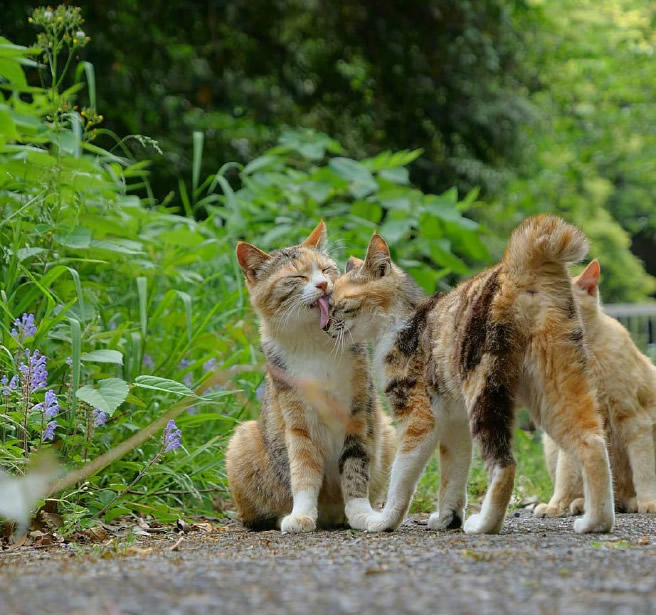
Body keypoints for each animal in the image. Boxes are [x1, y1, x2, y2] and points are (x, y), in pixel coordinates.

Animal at [226, 223, 394, 536]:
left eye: (327, 270)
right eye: (297, 276)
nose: (324, 285)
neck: (313, 343)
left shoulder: (358, 412)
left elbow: (355, 466)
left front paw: (361, 514)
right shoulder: (297, 418)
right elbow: (303, 469)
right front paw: (301, 515)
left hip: (387, 431)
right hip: (242, 440)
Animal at [326, 215, 616, 536]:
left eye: (339, 304)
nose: (325, 326)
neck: (403, 321)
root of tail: (520, 267)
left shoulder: (418, 419)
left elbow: (401, 477)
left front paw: (385, 520)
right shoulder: (455, 422)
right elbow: (453, 473)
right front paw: (448, 518)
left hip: (484, 388)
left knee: (505, 465)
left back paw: (484, 524)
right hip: (555, 387)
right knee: (593, 444)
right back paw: (596, 522)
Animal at [536, 260, 656, 520]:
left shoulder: (636, 421)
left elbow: (644, 470)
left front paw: (649, 501)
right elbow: (565, 474)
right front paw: (555, 505)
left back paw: (632, 502)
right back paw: (584, 503)